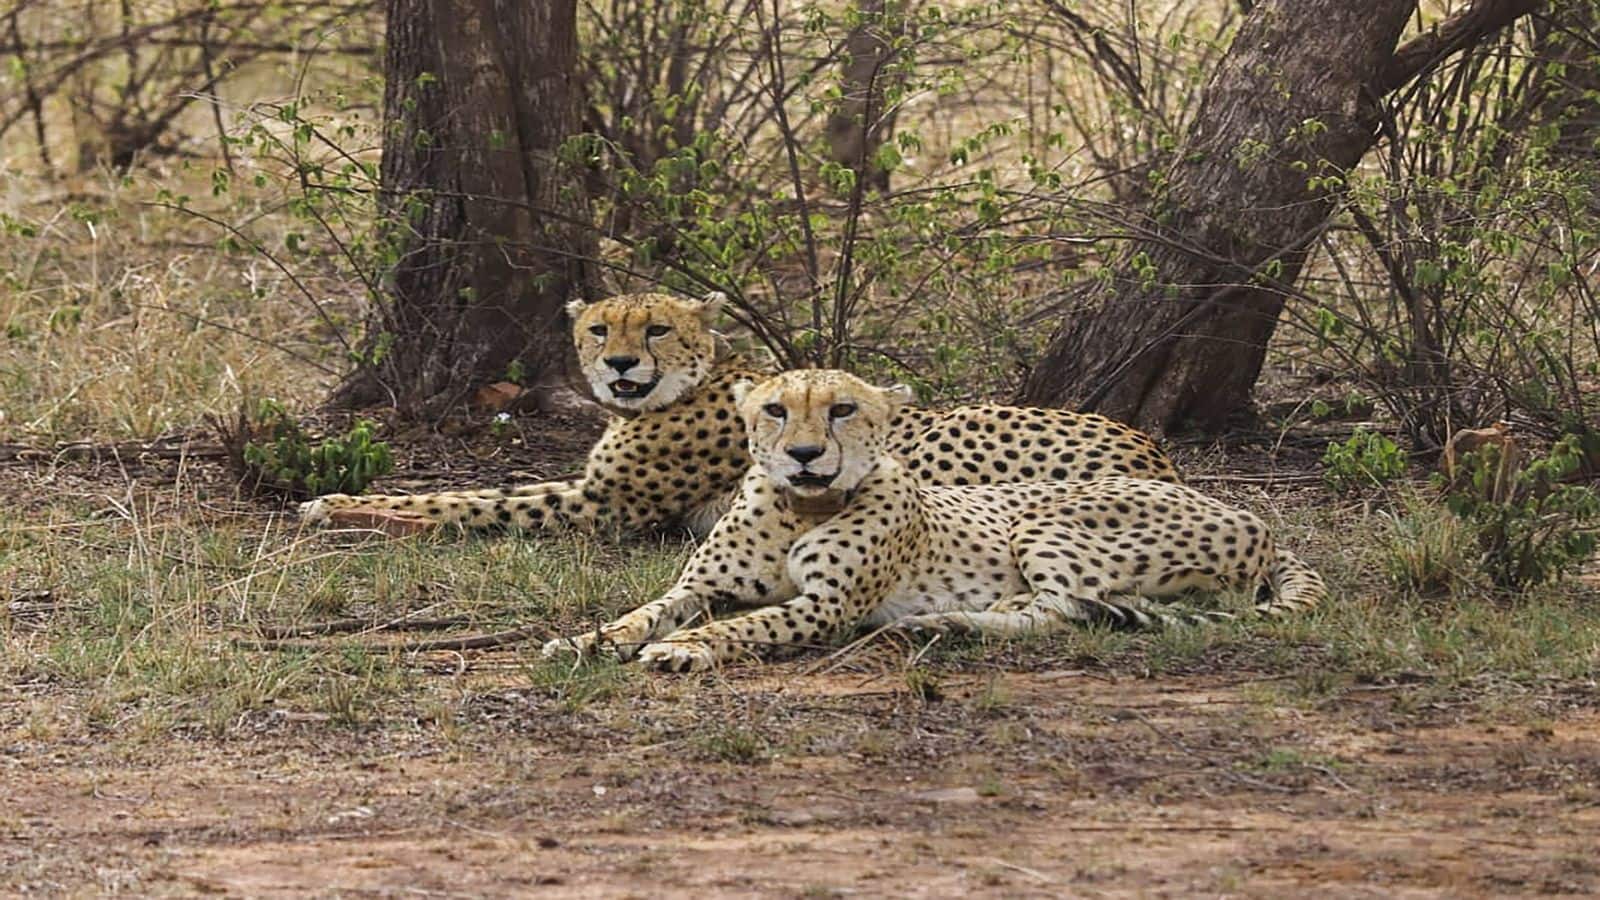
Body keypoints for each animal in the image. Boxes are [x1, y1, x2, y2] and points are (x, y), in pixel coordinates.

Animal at [300, 291, 1179, 535]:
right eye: (600, 329)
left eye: (655, 328)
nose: (620, 365)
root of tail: (1152, 450)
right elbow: (482, 489)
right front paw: (337, 500)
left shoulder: (607, 507)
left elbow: (469, 501)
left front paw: (340, 506)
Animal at [541, 369, 1327, 672]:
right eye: (775, 409)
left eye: (842, 409)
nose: (803, 455)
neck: (799, 507)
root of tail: (1246, 512)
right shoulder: (700, 586)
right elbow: (645, 611)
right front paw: (586, 640)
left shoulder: (825, 606)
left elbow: (744, 625)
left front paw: (685, 648)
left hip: (1044, 519)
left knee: (1063, 612)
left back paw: (946, 622)